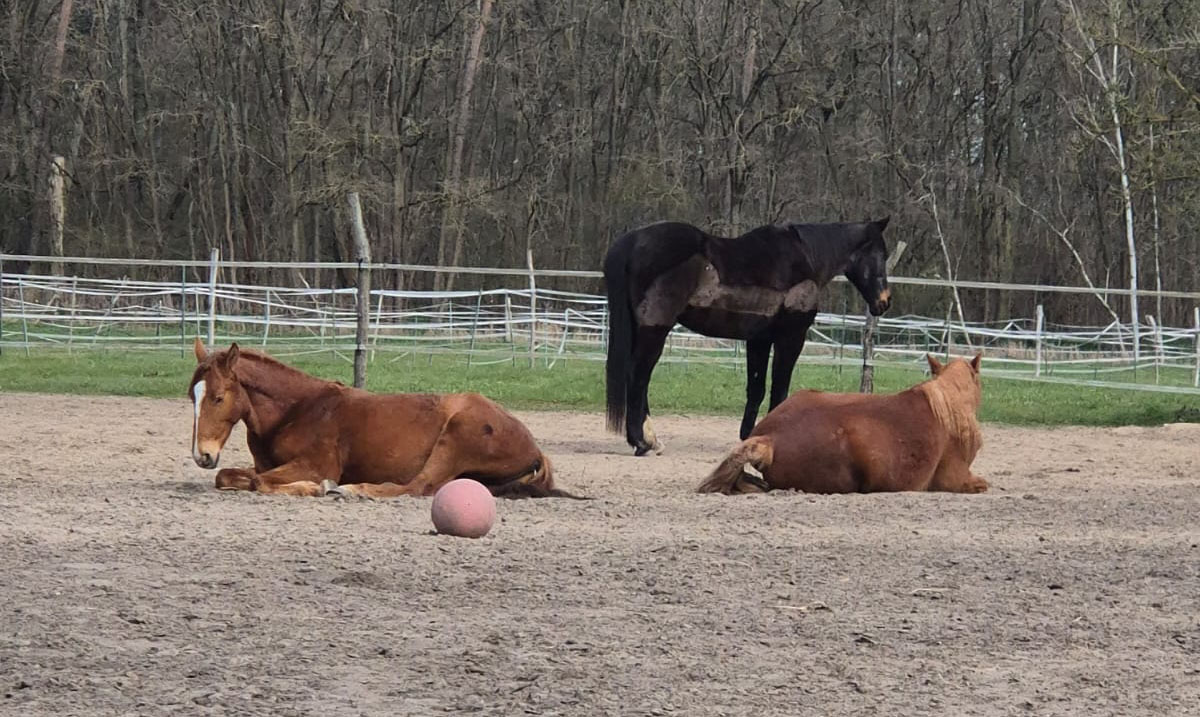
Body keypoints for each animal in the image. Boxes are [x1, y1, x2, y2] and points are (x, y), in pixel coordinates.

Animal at [187, 338, 582, 499]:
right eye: (192, 396)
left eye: (218, 398)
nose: (201, 455)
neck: (298, 410)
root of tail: (534, 447)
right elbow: (229, 477)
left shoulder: (317, 464)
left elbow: (260, 482)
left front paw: (317, 488)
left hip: (455, 435)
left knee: (418, 486)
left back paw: (353, 490)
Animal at [603, 217, 894, 456]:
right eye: (880, 254)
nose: (884, 301)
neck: (805, 257)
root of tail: (633, 240)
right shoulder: (791, 338)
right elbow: (780, 388)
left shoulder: (759, 340)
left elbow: (756, 388)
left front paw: (748, 435)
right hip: (655, 328)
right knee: (638, 376)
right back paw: (641, 442)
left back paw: (650, 440)